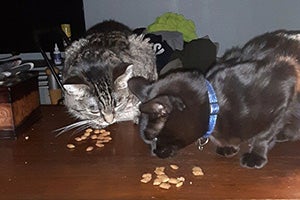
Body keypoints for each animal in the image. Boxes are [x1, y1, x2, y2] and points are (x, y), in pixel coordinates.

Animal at [129, 29, 300, 169]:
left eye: (154, 138)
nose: (153, 152)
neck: (215, 106)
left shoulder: (285, 85)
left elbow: (264, 135)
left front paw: (255, 156)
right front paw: (227, 147)